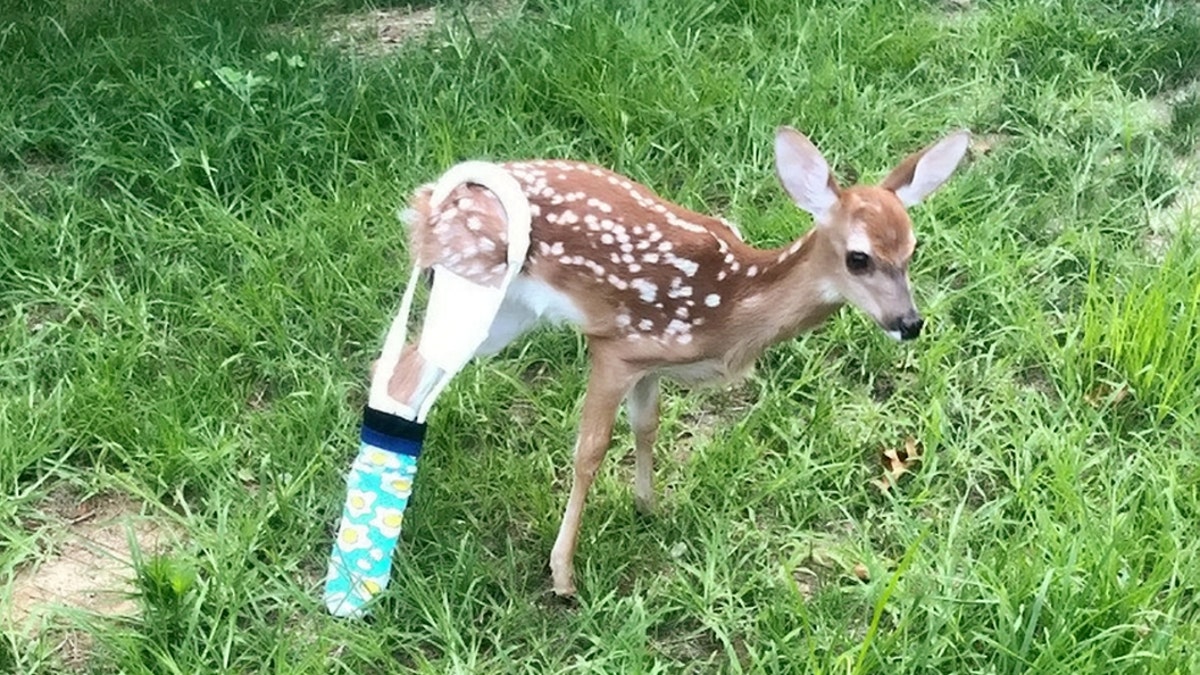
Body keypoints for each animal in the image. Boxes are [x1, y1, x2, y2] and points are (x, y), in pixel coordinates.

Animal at [379, 126, 969, 593]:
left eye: (912, 250)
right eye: (859, 258)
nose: (909, 322)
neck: (728, 304)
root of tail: (428, 197)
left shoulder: (650, 362)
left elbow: (647, 426)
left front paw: (649, 508)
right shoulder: (616, 346)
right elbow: (589, 451)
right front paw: (563, 574)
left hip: (504, 313)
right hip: (472, 279)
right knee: (406, 375)